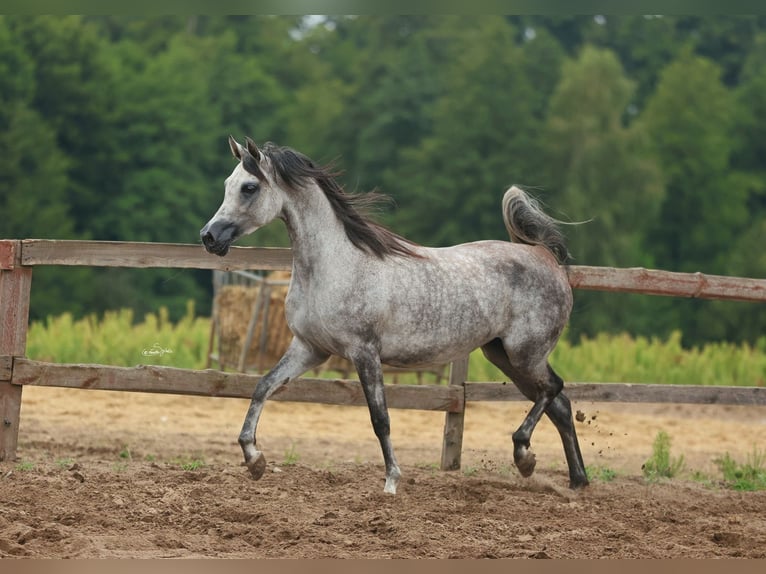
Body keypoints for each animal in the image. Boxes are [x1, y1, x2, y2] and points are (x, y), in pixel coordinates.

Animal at [201, 136, 592, 496]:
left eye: (249, 188)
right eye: (228, 184)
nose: (208, 236)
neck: (335, 266)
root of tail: (544, 256)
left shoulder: (364, 352)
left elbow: (380, 419)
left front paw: (392, 481)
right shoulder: (310, 349)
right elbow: (263, 386)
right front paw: (254, 460)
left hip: (525, 354)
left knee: (553, 389)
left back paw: (525, 456)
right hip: (503, 355)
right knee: (560, 404)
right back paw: (577, 481)